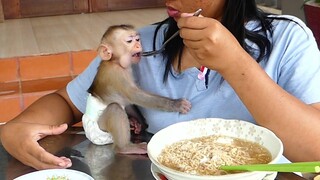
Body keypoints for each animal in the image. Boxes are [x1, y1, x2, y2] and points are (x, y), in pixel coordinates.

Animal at [86, 24, 191, 155]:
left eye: (137, 39)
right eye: (129, 41)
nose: (138, 45)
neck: (115, 61)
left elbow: (129, 100)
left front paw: (139, 122)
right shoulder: (117, 74)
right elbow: (135, 96)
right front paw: (176, 104)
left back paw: (133, 123)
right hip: (98, 130)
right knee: (115, 108)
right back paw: (124, 148)